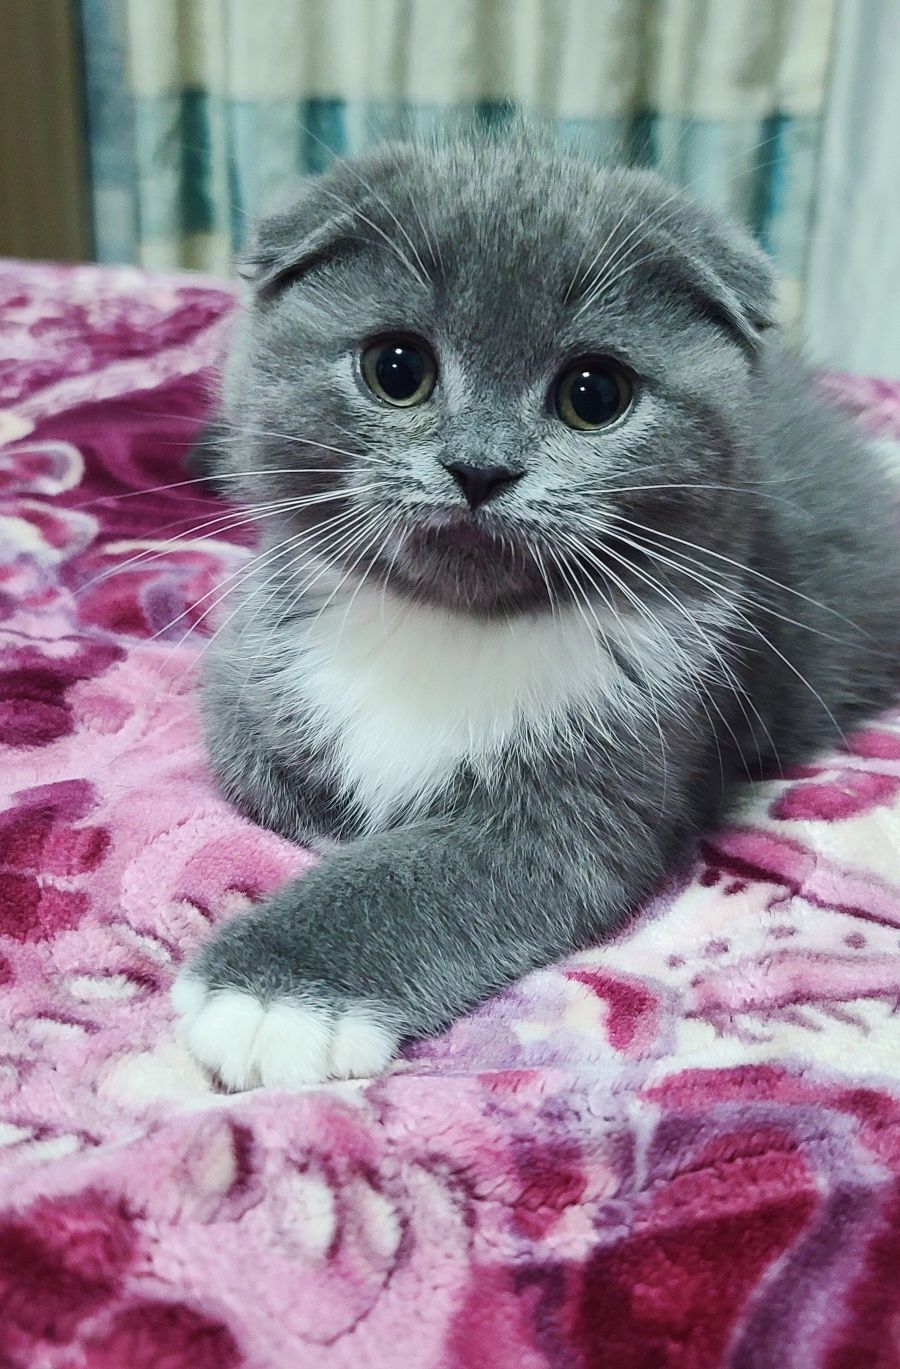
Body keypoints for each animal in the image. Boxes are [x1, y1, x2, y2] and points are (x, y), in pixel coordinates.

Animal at [170, 128, 898, 1089]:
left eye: (594, 393)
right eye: (397, 369)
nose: (480, 467)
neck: (455, 629)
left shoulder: (612, 780)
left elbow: (438, 866)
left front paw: (271, 995)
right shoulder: (248, 669)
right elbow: (260, 775)